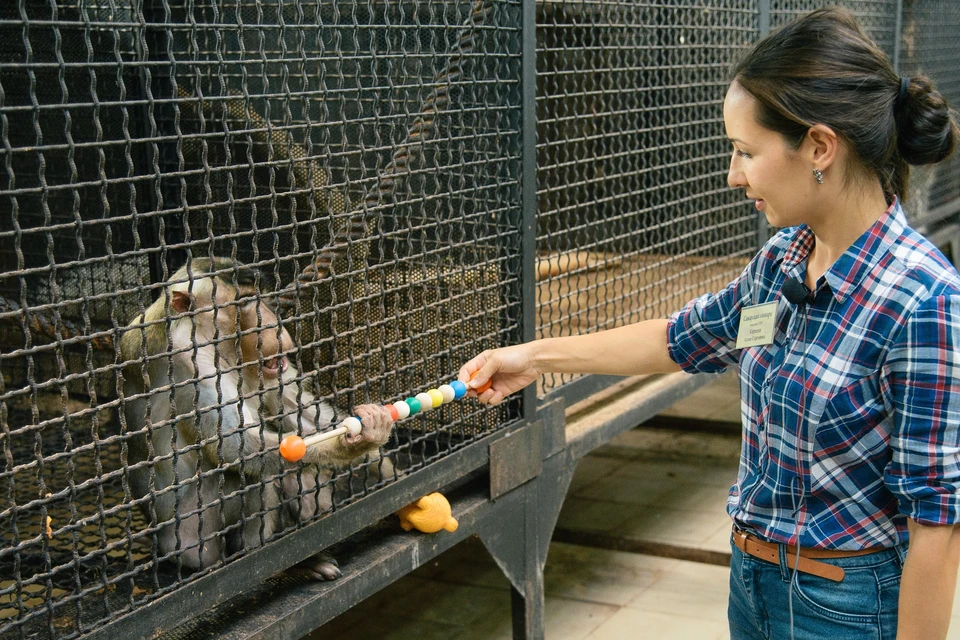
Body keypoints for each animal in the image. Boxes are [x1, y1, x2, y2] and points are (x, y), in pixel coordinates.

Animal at [118, 256, 392, 580]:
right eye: (245, 302)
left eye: (261, 298)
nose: (272, 324)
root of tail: (161, 546)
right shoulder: (189, 361)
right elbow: (236, 447)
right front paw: (352, 445)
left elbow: (298, 414)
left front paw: (378, 457)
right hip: (192, 541)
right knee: (257, 476)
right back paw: (269, 562)